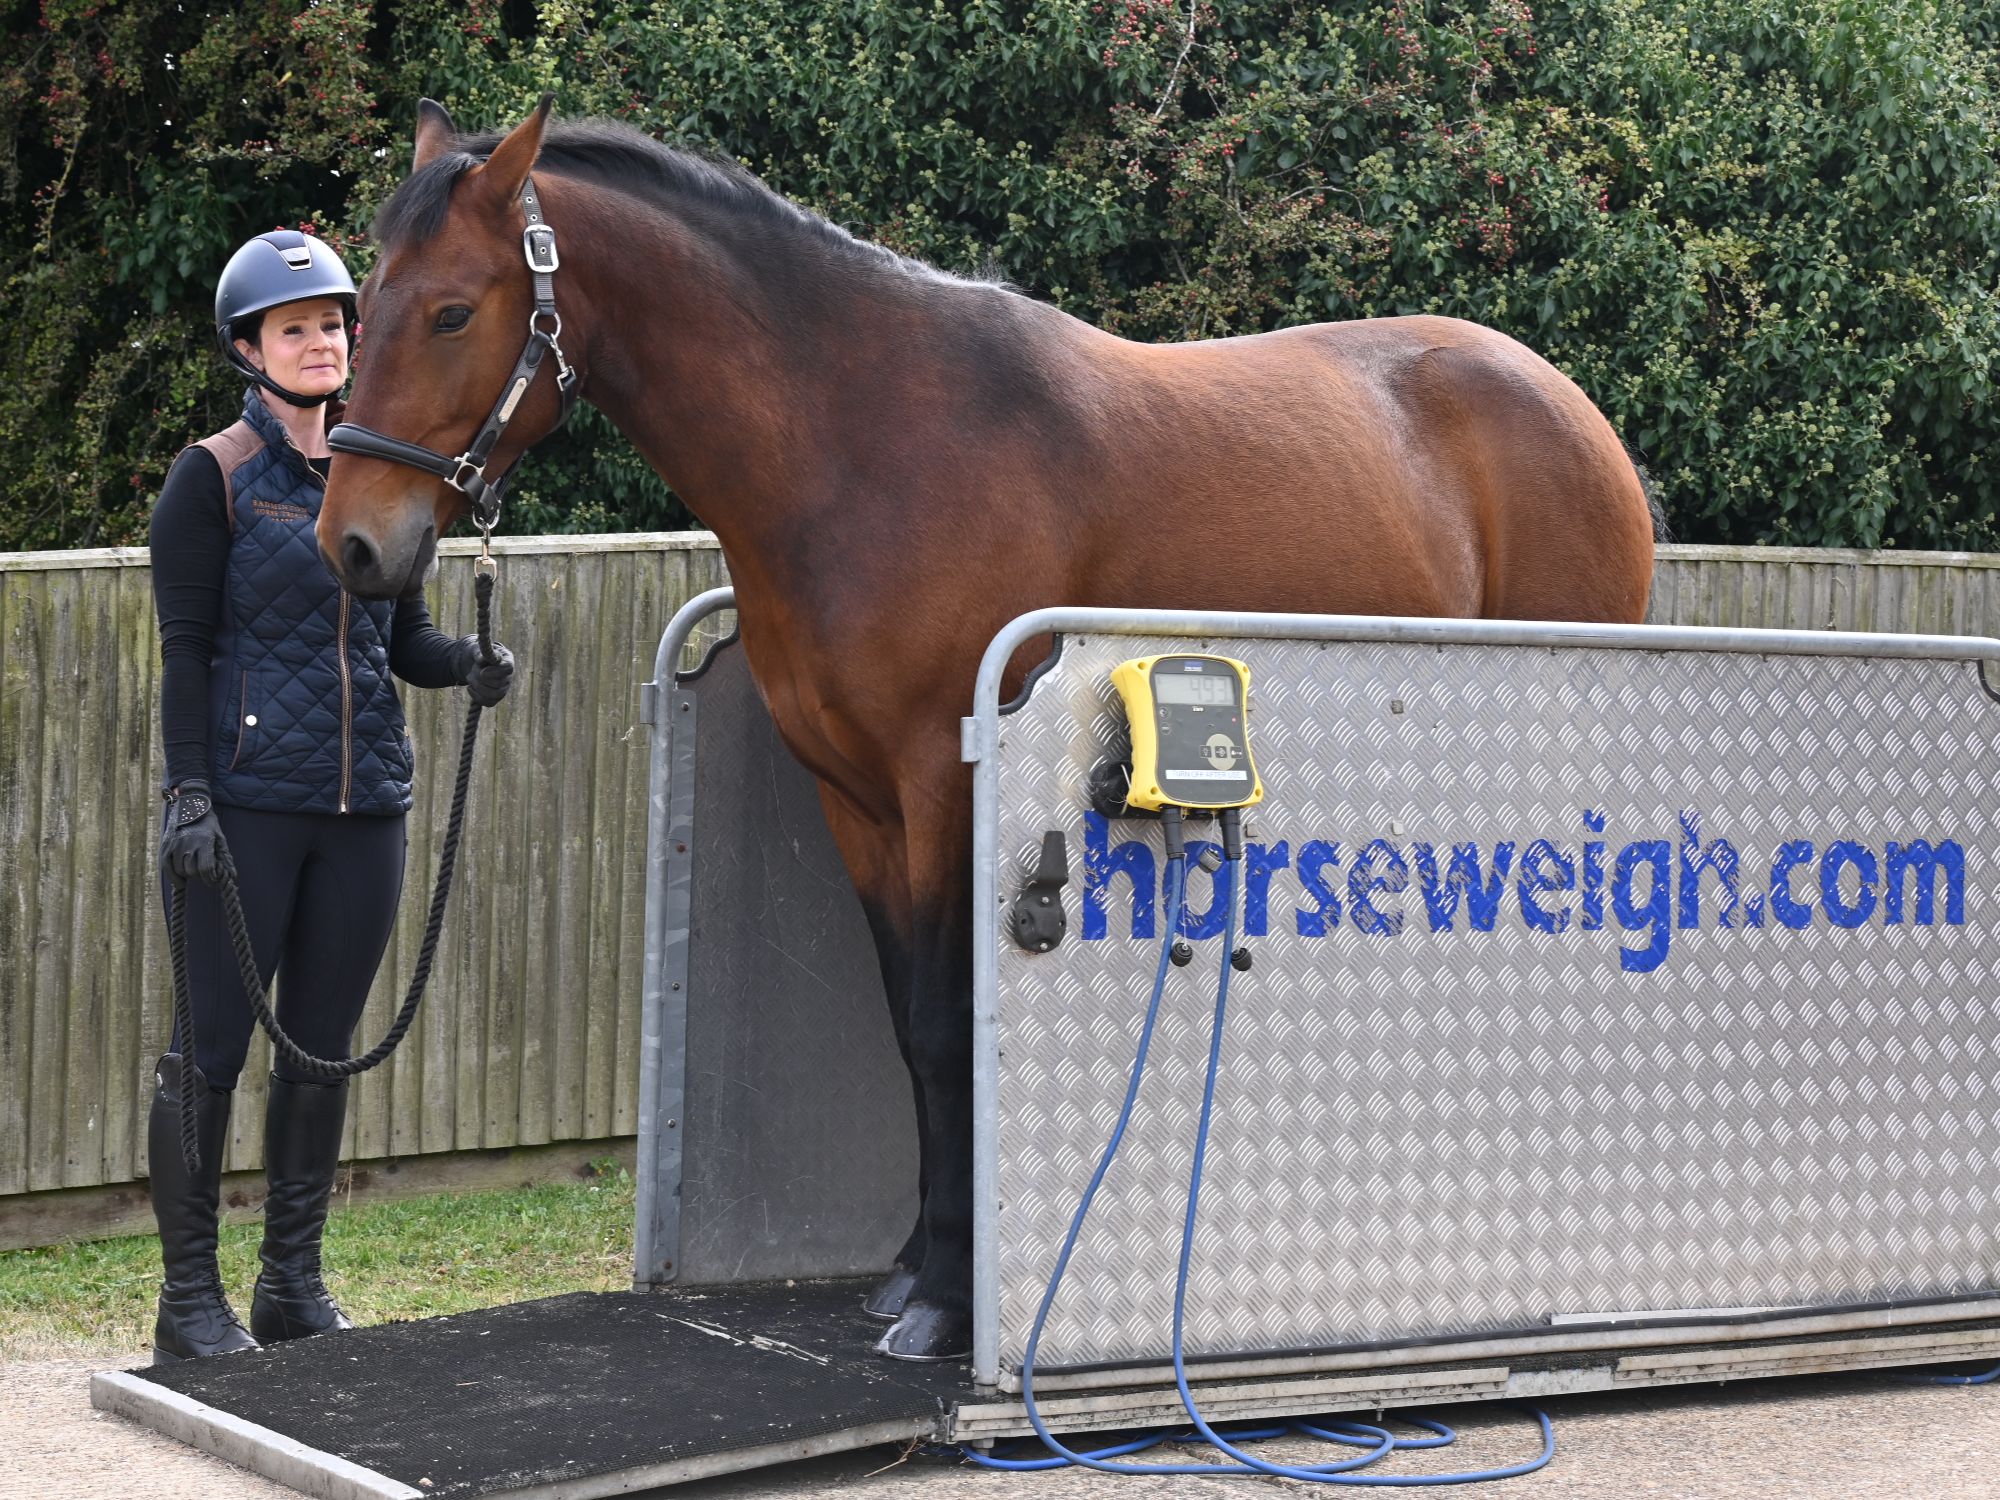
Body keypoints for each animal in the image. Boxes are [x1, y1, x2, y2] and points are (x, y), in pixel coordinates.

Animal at [318, 98, 1659, 1362]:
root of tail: (1565, 404)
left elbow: (946, 1022)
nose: (355, 542)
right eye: (363, 305)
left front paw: (949, 1303)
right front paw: (914, 1269)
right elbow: (908, 1031)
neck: (861, 444)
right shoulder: (857, 803)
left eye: (451, 312)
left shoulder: (939, 784)